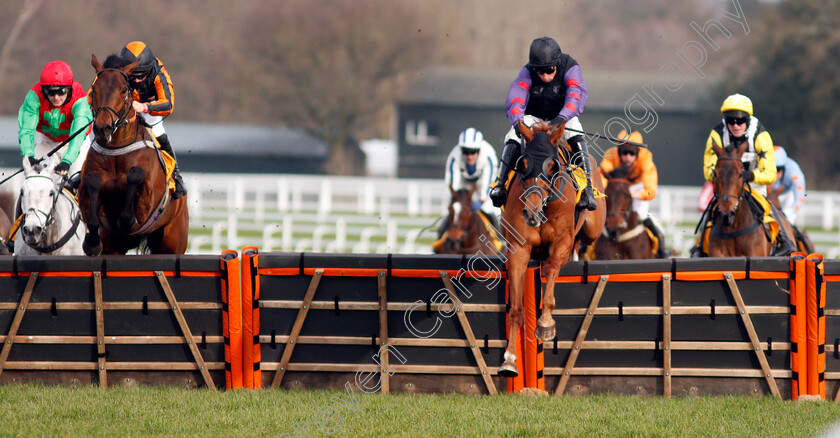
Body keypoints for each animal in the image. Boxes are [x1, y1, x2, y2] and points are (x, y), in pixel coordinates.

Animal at [79, 53, 189, 255]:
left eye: (124, 90)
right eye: (95, 89)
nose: (103, 129)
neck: (116, 149)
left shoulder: (147, 201)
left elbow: (135, 177)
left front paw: (127, 219)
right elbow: (92, 182)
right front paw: (91, 241)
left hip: (172, 242)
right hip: (115, 246)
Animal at [498, 120, 604, 376]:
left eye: (552, 166)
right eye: (523, 163)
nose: (531, 213)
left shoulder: (562, 242)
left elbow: (552, 268)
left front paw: (545, 324)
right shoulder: (518, 250)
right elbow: (516, 309)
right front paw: (509, 359)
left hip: (593, 227)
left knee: (583, 238)